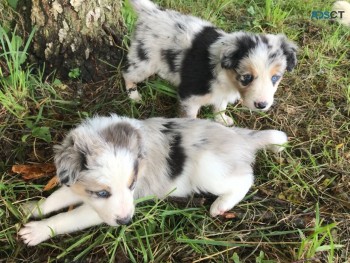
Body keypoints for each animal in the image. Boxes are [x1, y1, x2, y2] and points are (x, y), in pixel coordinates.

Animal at [18, 115, 288, 248]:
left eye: (131, 185)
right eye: (102, 193)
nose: (127, 221)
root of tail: (241, 137)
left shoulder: (102, 210)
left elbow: (68, 217)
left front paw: (37, 231)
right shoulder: (79, 186)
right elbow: (55, 198)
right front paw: (29, 209)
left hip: (209, 169)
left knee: (245, 178)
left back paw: (220, 205)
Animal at [123, 0, 298, 126]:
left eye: (275, 78)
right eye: (246, 77)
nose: (262, 105)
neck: (227, 78)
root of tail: (152, 11)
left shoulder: (222, 94)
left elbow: (220, 107)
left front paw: (222, 120)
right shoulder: (189, 96)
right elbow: (191, 117)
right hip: (144, 62)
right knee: (127, 73)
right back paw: (134, 95)